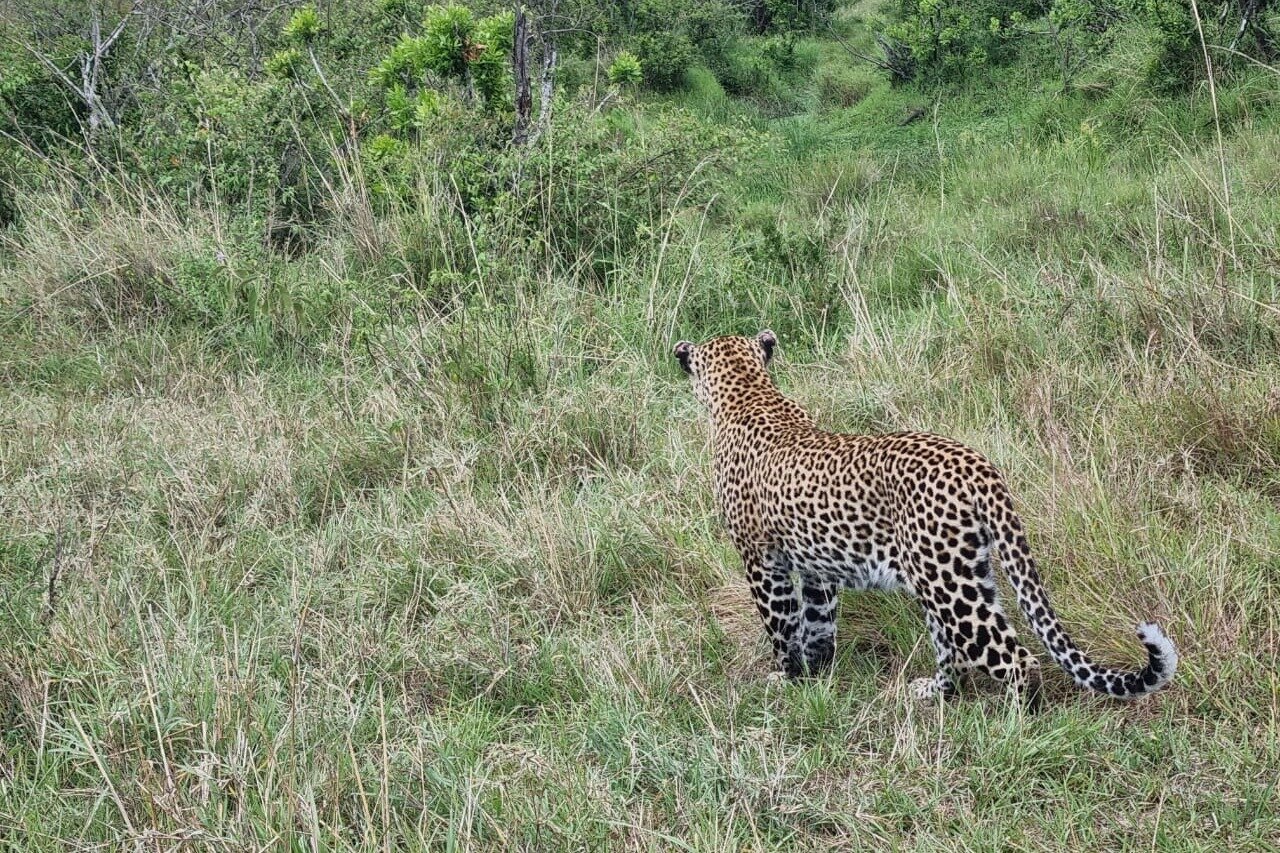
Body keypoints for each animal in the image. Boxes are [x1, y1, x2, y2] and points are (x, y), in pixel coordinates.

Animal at [670, 327, 1177, 701]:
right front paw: (816, 674)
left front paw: (786, 677)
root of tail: (978, 465)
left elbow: (780, 624)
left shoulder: (761, 559)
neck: (748, 390)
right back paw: (934, 691)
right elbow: (817, 623)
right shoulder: (817, 567)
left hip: (948, 584)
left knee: (1014, 657)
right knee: (955, 653)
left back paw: (1015, 728)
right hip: (953, 573)